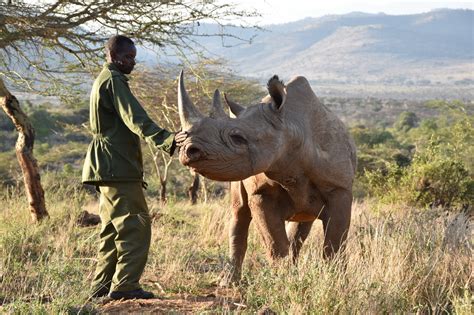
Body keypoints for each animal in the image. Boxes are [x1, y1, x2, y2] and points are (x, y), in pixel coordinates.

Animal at [177, 71, 356, 286]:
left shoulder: (339, 189)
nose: (187, 150)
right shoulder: (261, 192)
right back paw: (228, 282)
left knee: (302, 223)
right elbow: (274, 241)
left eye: (237, 138)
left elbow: (335, 242)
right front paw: (285, 282)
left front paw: (335, 283)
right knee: (239, 212)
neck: (291, 128)